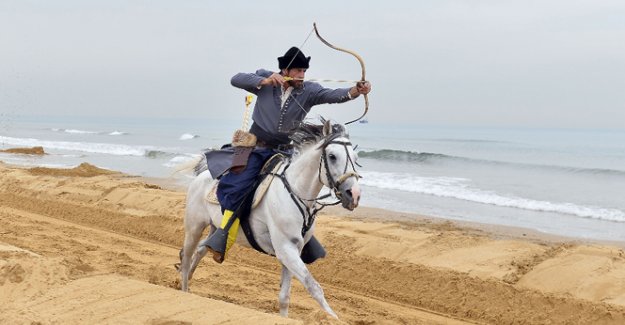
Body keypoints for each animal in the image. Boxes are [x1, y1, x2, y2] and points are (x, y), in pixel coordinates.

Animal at [176, 119, 360, 316]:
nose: (354, 195)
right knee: (187, 256)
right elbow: (313, 286)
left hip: (215, 227)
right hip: (194, 226)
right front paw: (333, 317)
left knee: (201, 249)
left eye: (356, 158)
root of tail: (202, 174)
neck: (295, 190)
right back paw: (185, 290)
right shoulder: (286, 249)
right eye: (332, 156)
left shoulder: (293, 250)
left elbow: (284, 297)